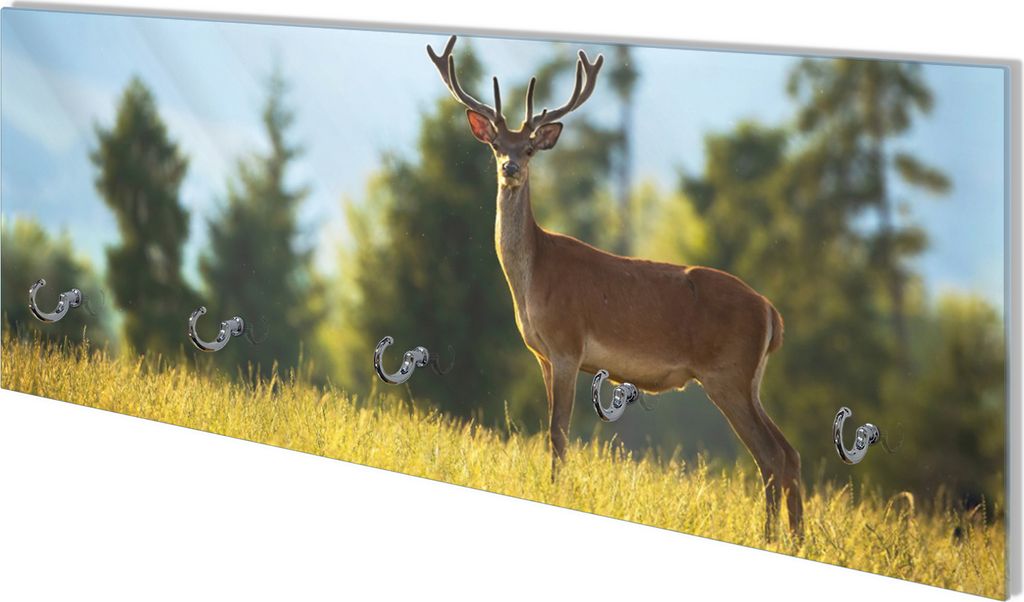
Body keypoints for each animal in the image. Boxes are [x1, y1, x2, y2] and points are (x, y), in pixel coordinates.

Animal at [427, 35, 803, 539]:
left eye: (530, 149)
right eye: (496, 146)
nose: (510, 168)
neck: (533, 279)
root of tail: (771, 313)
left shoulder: (568, 345)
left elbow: (559, 433)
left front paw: (557, 491)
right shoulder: (542, 354)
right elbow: (551, 432)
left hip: (728, 373)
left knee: (769, 455)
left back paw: (770, 536)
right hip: (751, 379)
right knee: (788, 453)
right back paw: (797, 537)